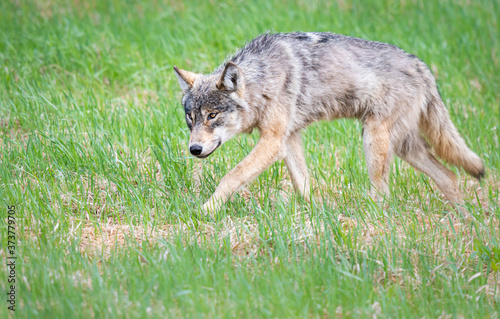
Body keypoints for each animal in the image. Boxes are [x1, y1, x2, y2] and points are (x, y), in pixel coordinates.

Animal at [175, 31, 484, 215]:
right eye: (191, 118)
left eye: (212, 116)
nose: (194, 149)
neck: (263, 79)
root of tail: (423, 67)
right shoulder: (289, 139)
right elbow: (303, 184)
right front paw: (314, 215)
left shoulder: (273, 141)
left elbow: (231, 176)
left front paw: (205, 211)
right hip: (405, 148)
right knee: (449, 175)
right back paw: (466, 218)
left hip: (374, 141)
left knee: (384, 193)